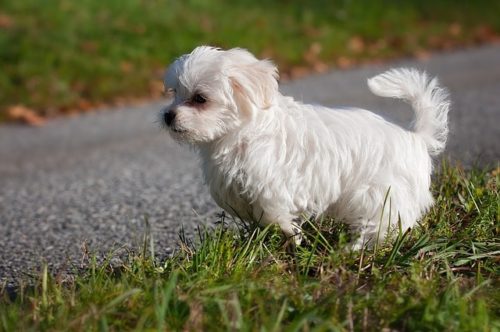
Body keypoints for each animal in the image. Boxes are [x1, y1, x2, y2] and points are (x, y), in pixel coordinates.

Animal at [160, 46, 450, 249]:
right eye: (174, 93)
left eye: (200, 99)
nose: (167, 116)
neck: (242, 131)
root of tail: (415, 137)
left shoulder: (270, 187)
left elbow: (276, 216)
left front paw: (293, 239)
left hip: (379, 193)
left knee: (384, 225)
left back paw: (354, 249)